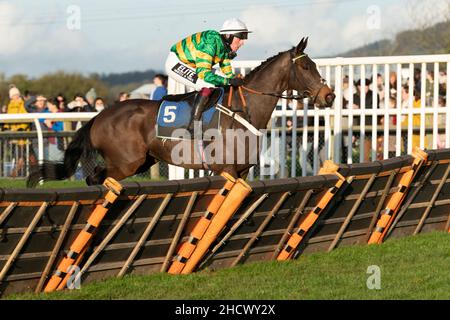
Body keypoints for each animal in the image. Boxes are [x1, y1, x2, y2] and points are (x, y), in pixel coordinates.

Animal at [25, 37, 334, 188]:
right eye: (305, 66)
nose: (328, 95)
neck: (243, 109)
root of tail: (98, 117)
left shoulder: (242, 171)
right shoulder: (226, 169)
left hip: (141, 161)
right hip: (125, 162)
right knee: (96, 178)